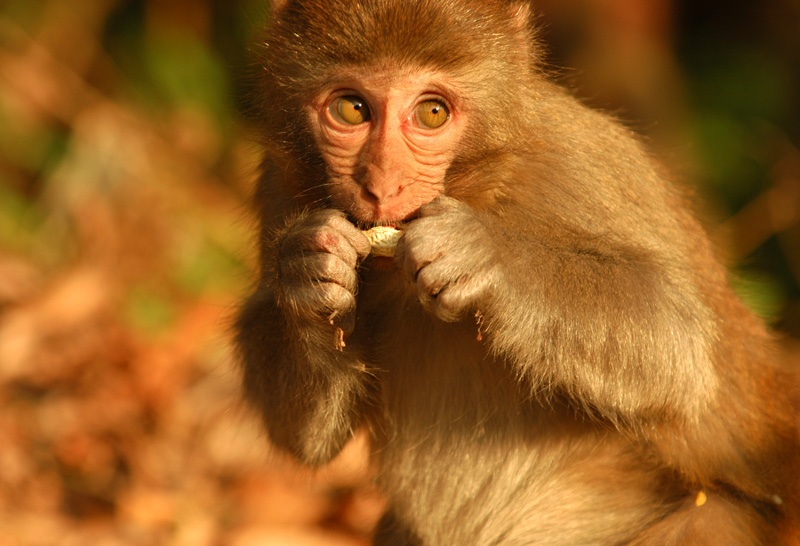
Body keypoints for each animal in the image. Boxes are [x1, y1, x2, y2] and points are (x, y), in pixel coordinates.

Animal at [234, 2, 800, 540]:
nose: (382, 184)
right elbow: (305, 439)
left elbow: (677, 346)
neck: (477, 184)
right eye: (352, 108)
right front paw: (307, 275)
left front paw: (482, 257)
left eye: (432, 113)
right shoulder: (280, 182)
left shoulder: (574, 161)